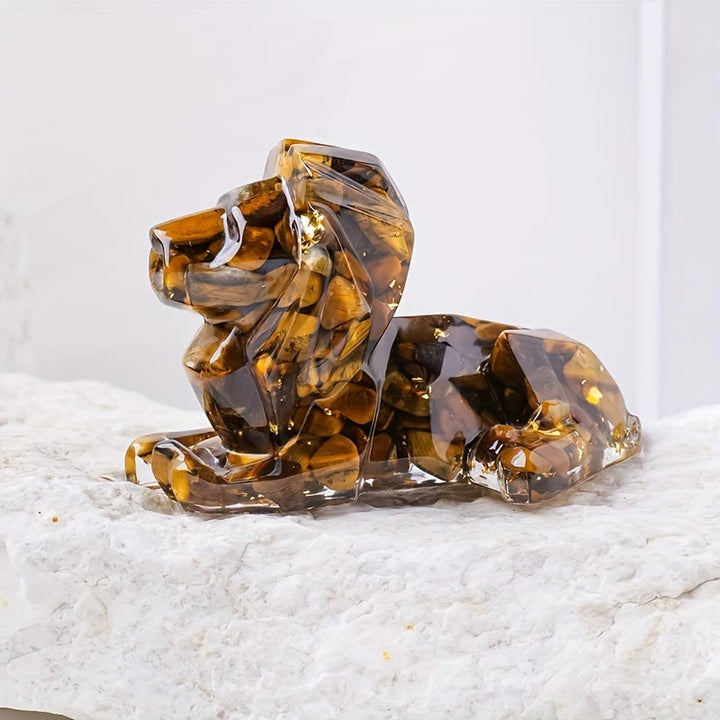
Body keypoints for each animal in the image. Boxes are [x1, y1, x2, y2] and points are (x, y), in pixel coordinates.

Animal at [126, 140, 641, 513]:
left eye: (234, 225)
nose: (154, 240)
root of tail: (626, 412)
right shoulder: (240, 437)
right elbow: (191, 440)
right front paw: (150, 447)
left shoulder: (326, 459)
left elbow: (215, 479)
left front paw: (176, 462)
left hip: (518, 345)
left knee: (578, 435)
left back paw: (508, 450)